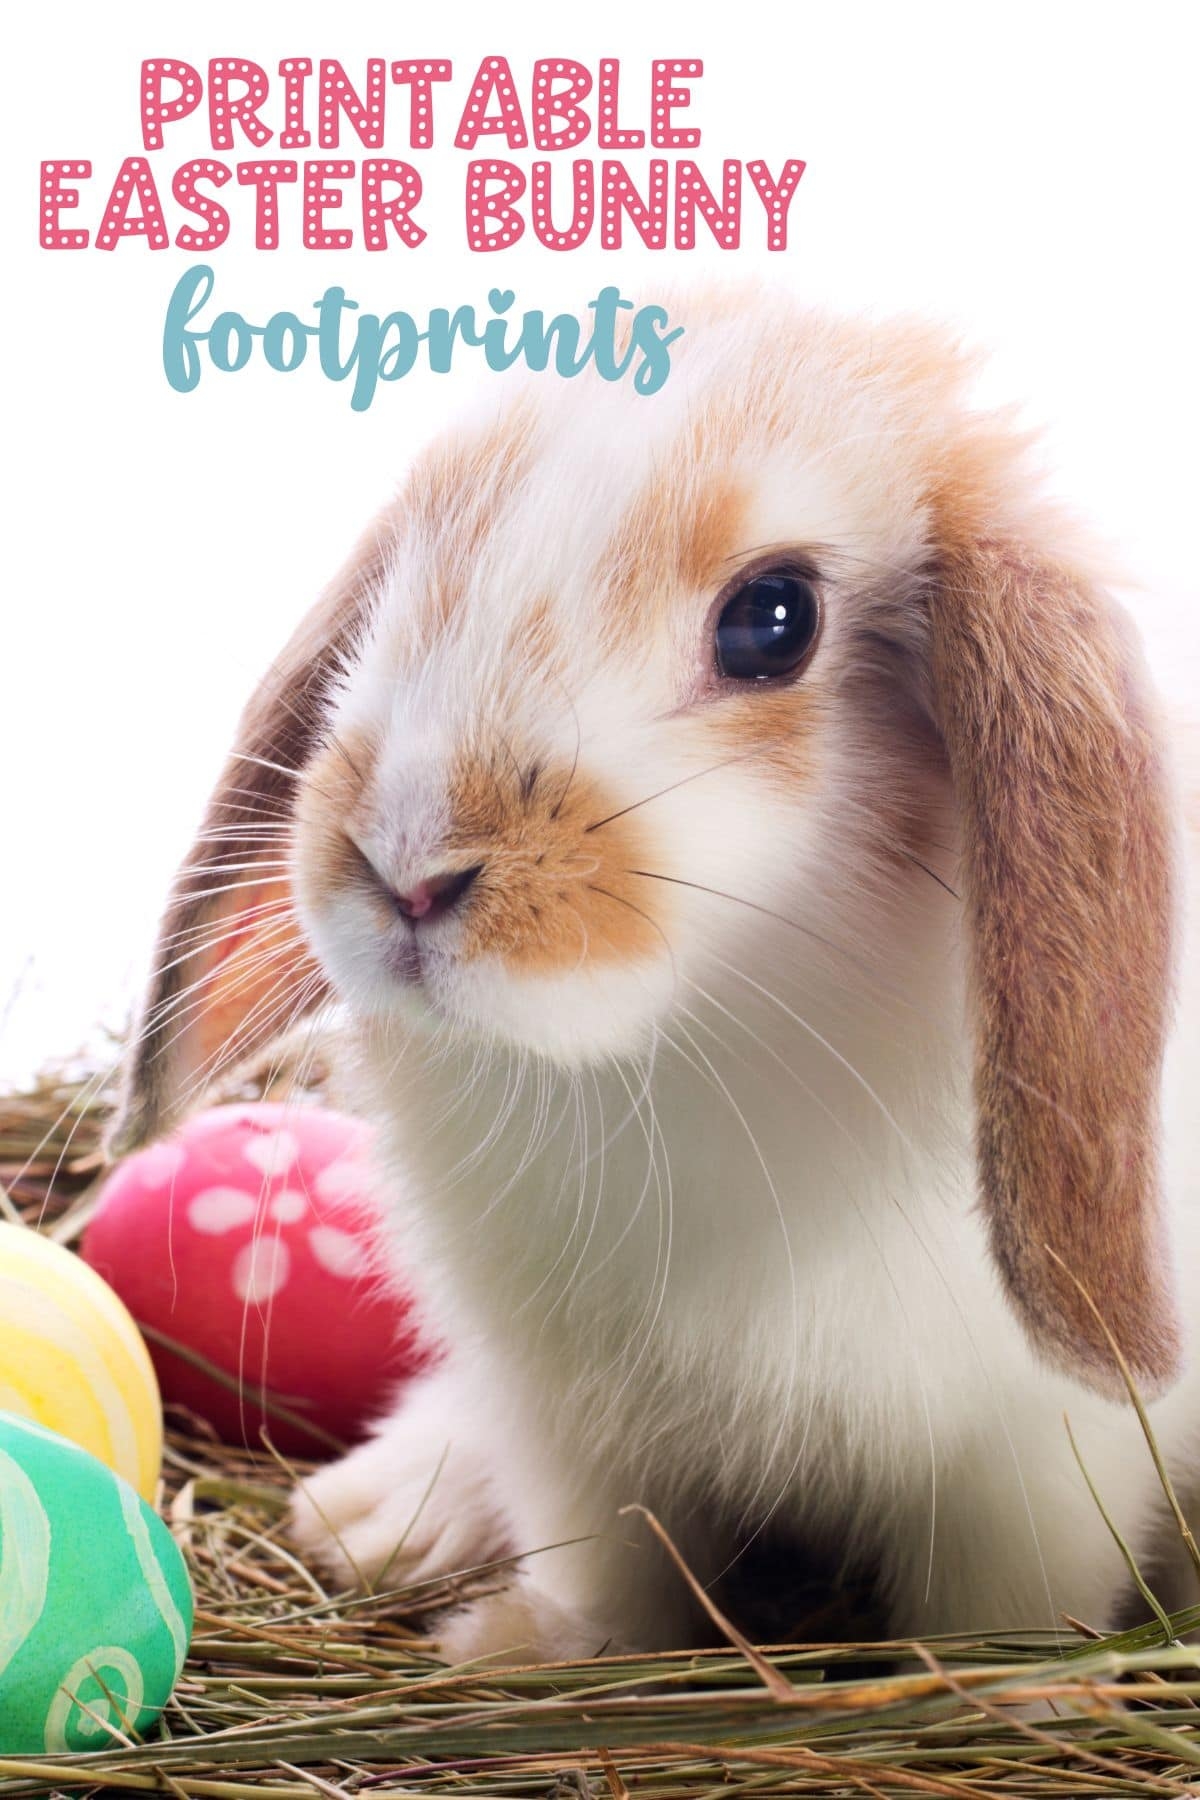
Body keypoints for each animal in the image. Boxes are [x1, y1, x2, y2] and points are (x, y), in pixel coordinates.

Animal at [113, 288, 1200, 1664]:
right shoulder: (572, 1429)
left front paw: (1010, 1685)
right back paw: (378, 1517)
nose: (409, 868)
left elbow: (998, 1613)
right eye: (408, 571)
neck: (685, 1050)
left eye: (773, 619)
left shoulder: (1033, 1468)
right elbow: (612, 1573)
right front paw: (530, 1649)